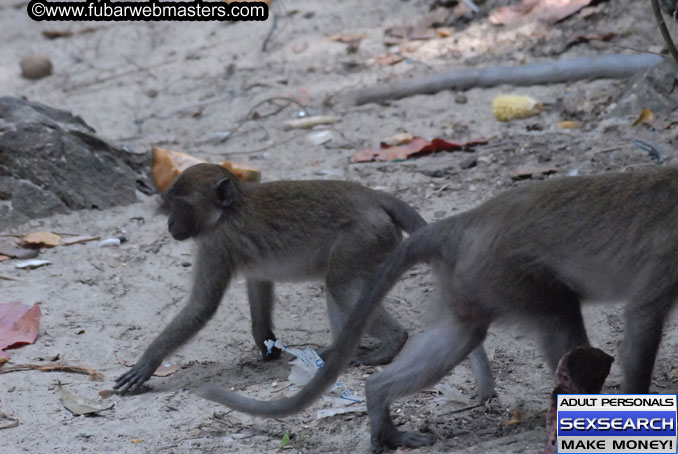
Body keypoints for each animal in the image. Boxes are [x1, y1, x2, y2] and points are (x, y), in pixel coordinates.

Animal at [117, 163, 494, 394]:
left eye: (180, 205)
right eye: (170, 205)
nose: (170, 224)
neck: (228, 209)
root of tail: (372, 195)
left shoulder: (216, 243)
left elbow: (201, 307)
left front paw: (147, 362)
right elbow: (259, 284)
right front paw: (265, 343)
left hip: (364, 237)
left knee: (341, 286)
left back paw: (392, 342)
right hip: (374, 244)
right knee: (338, 285)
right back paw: (338, 350)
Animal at [199, 167, 678, 454]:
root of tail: (466, 221)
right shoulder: (668, 254)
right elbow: (642, 314)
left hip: (477, 278)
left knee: (463, 334)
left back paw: (380, 403)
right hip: (502, 270)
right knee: (557, 313)